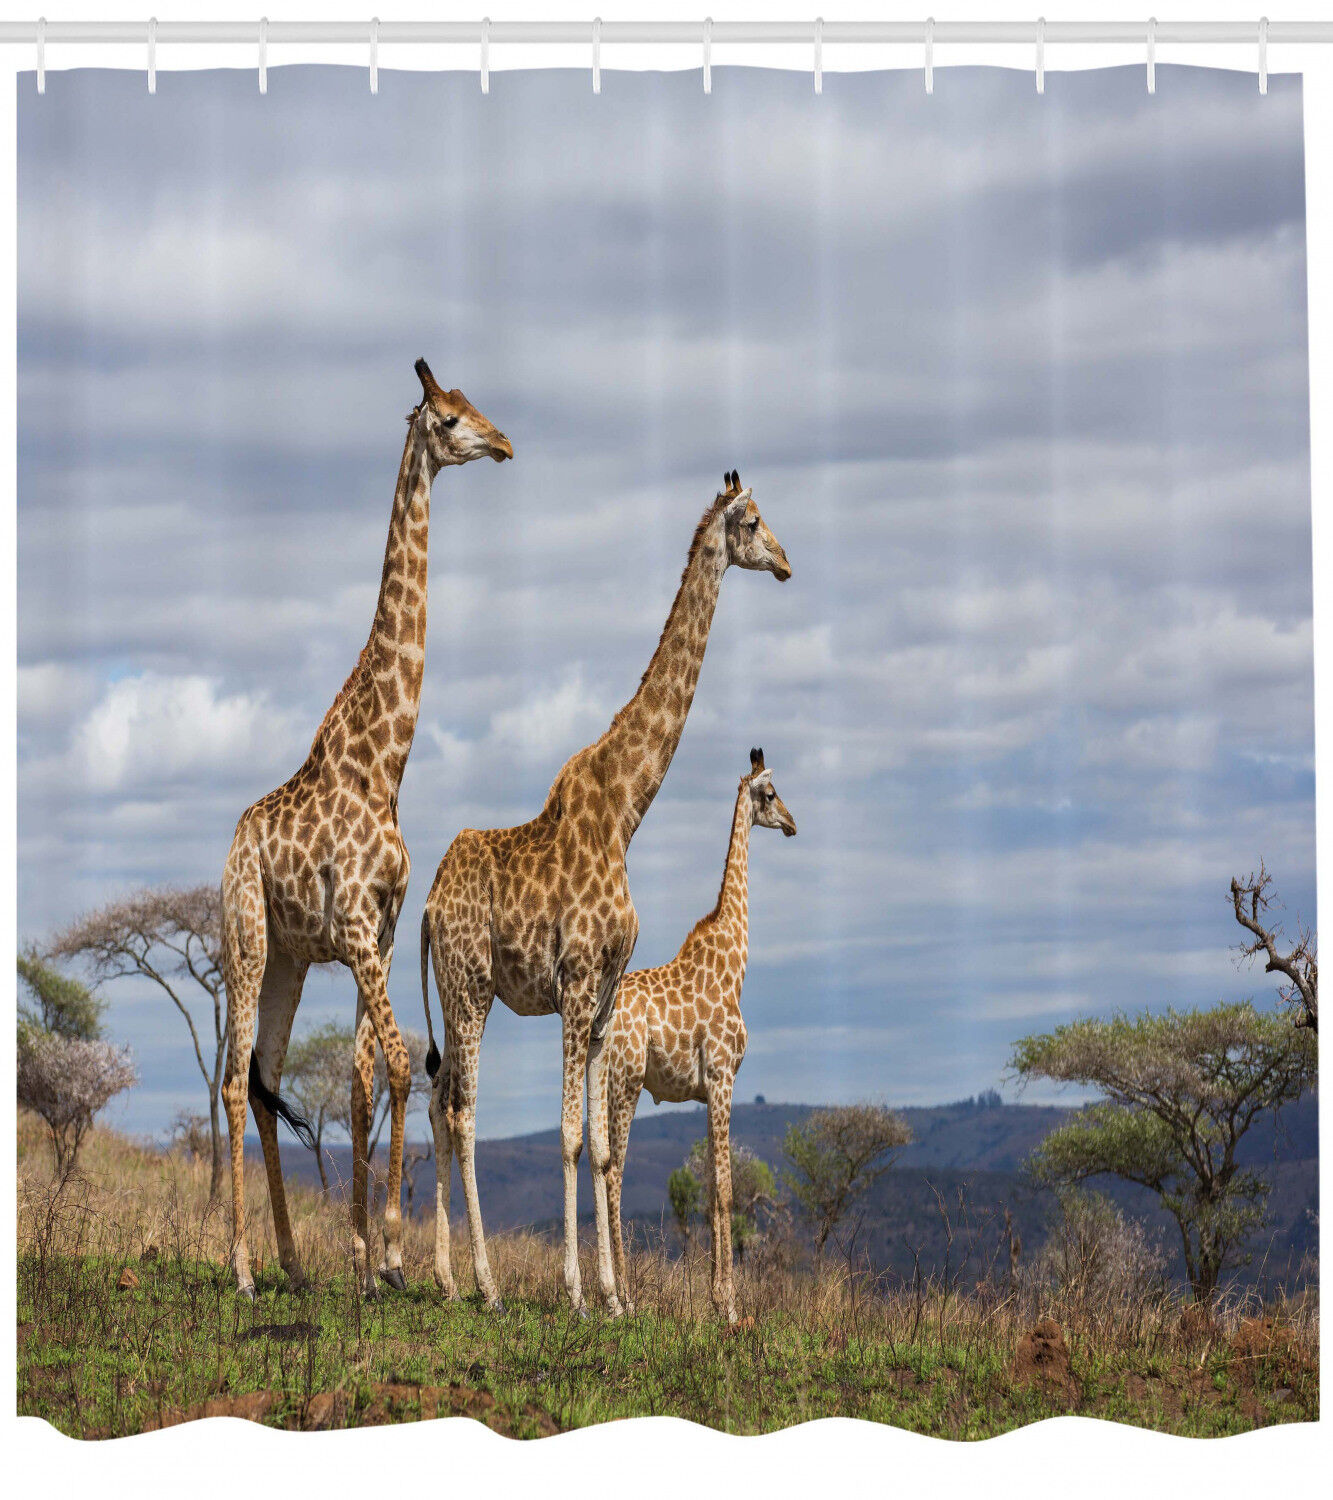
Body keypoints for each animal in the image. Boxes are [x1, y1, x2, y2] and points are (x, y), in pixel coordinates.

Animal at [219, 359, 512, 1300]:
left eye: (475, 406)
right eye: (449, 418)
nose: (503, 442)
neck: (382, 767)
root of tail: (231, 846)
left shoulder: (372, 936)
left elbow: (358, 1083)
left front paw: (360, 1259)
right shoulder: (353, 929)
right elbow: (400, 1066)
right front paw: (387, 1253)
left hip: (286, 958)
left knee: (262, 1075)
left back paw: (287, 1260)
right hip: (243, 939)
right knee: (232, 1084)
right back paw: (240, 1266)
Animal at [599, 748, 795, 1323]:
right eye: (771, 793)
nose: (793, 824)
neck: (735, 963)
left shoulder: (709, 1089)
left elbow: (711, 1189)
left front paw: (715, 1297)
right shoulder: (725, 1076)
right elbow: (727, 1190)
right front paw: (729, 1305)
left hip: (602, 1083)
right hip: (626, 1083)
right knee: (614, 1173)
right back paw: (625, 1298)